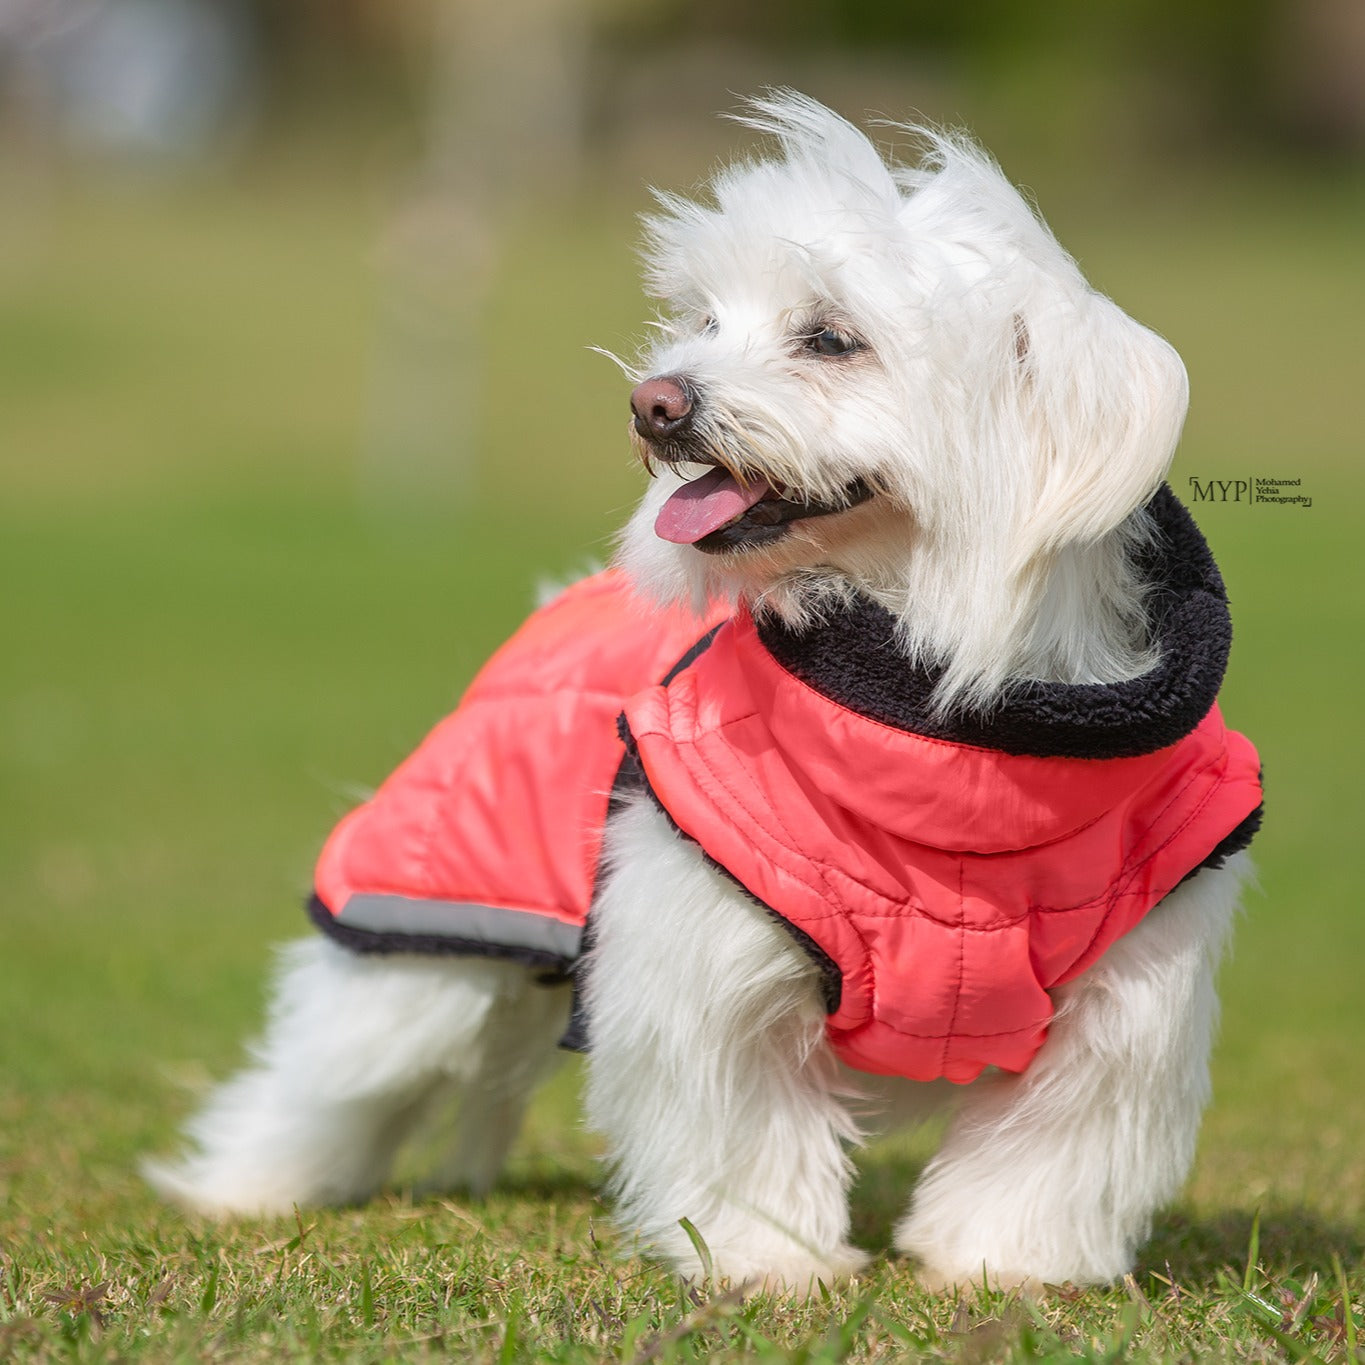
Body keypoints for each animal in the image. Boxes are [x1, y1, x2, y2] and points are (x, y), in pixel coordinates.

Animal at [146, 93, 1255, 1288]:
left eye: (829, 337)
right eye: (708, 320)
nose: (654, 401)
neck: (954, 743)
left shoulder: (1126, 991)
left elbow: (1044, 1154)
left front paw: (1004, 1267)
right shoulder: (709, 951)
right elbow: (745, 1128)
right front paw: (767, 1261)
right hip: (424, 928)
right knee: (328, 1075)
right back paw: (244, 1188)